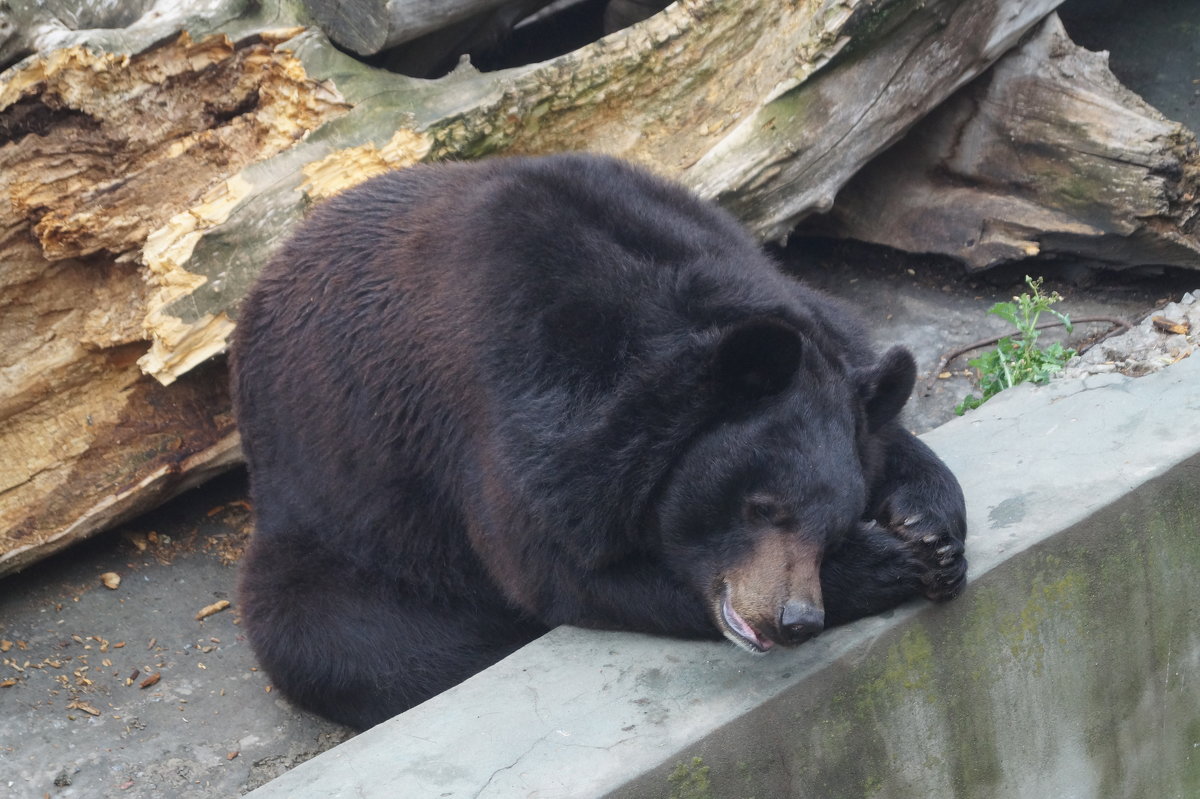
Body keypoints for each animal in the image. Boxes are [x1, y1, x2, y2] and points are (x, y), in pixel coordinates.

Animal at [231, 153, 964, 729]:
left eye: (833, 522)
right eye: (762, 507)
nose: (793, 619)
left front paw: (931, 533)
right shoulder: (501, 419)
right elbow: (570, 574)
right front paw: (888, 564)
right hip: (342, 524)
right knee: (343, 642)